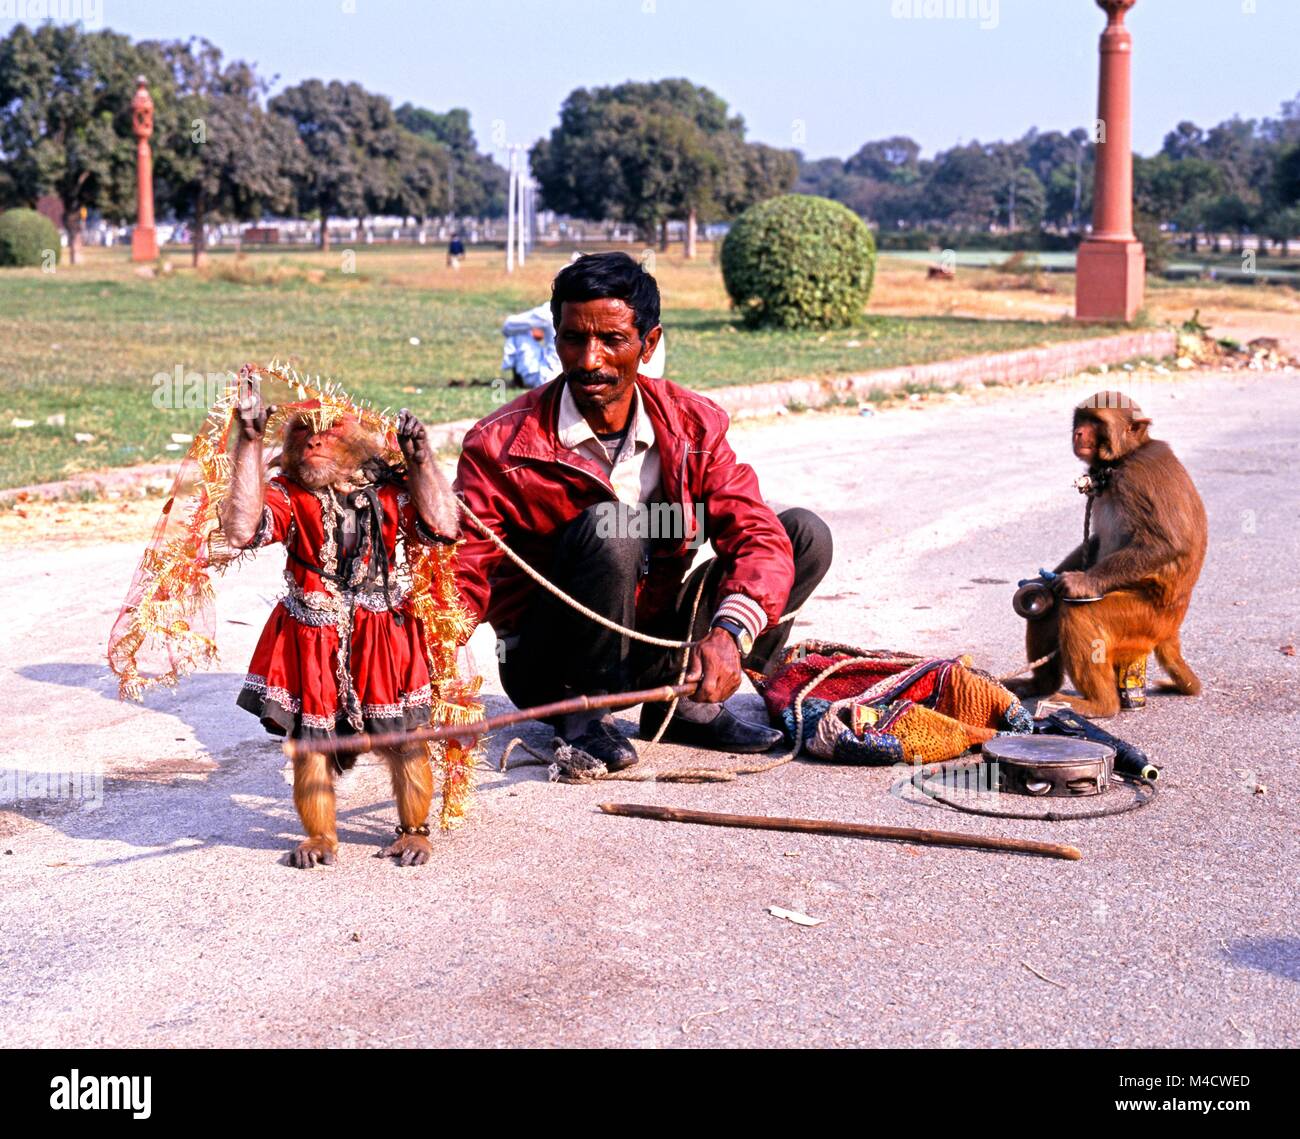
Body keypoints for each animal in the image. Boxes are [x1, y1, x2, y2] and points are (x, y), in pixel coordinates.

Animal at [222, 390, 462, 863]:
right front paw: (251, 427)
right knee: (314, 746)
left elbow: (436, 527)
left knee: (407, 742)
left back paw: (413, 835)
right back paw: (321, 840)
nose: (313, 444)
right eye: (304, 432)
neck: (341, 488)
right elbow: (248, 527)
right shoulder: (285, 498)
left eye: (328, 430)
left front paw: (416, 446)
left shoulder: (394, 497)